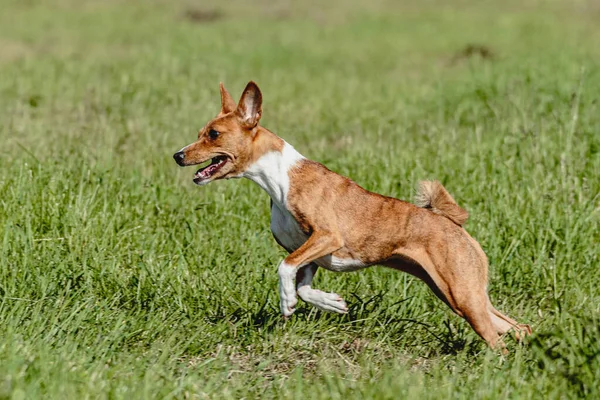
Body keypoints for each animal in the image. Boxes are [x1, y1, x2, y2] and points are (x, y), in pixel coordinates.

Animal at [173, 82, 528, 350]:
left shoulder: (327, 237)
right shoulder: (310, 254)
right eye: (202, 132)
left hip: (462, 294)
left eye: (213, 134)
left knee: (498, 339)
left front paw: (286, 301)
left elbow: (284, 269)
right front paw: (332, 303)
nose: (177, 155)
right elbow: (304, 287)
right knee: (517, 328)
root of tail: (452, 224)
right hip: (454, 293)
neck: (278, 178)